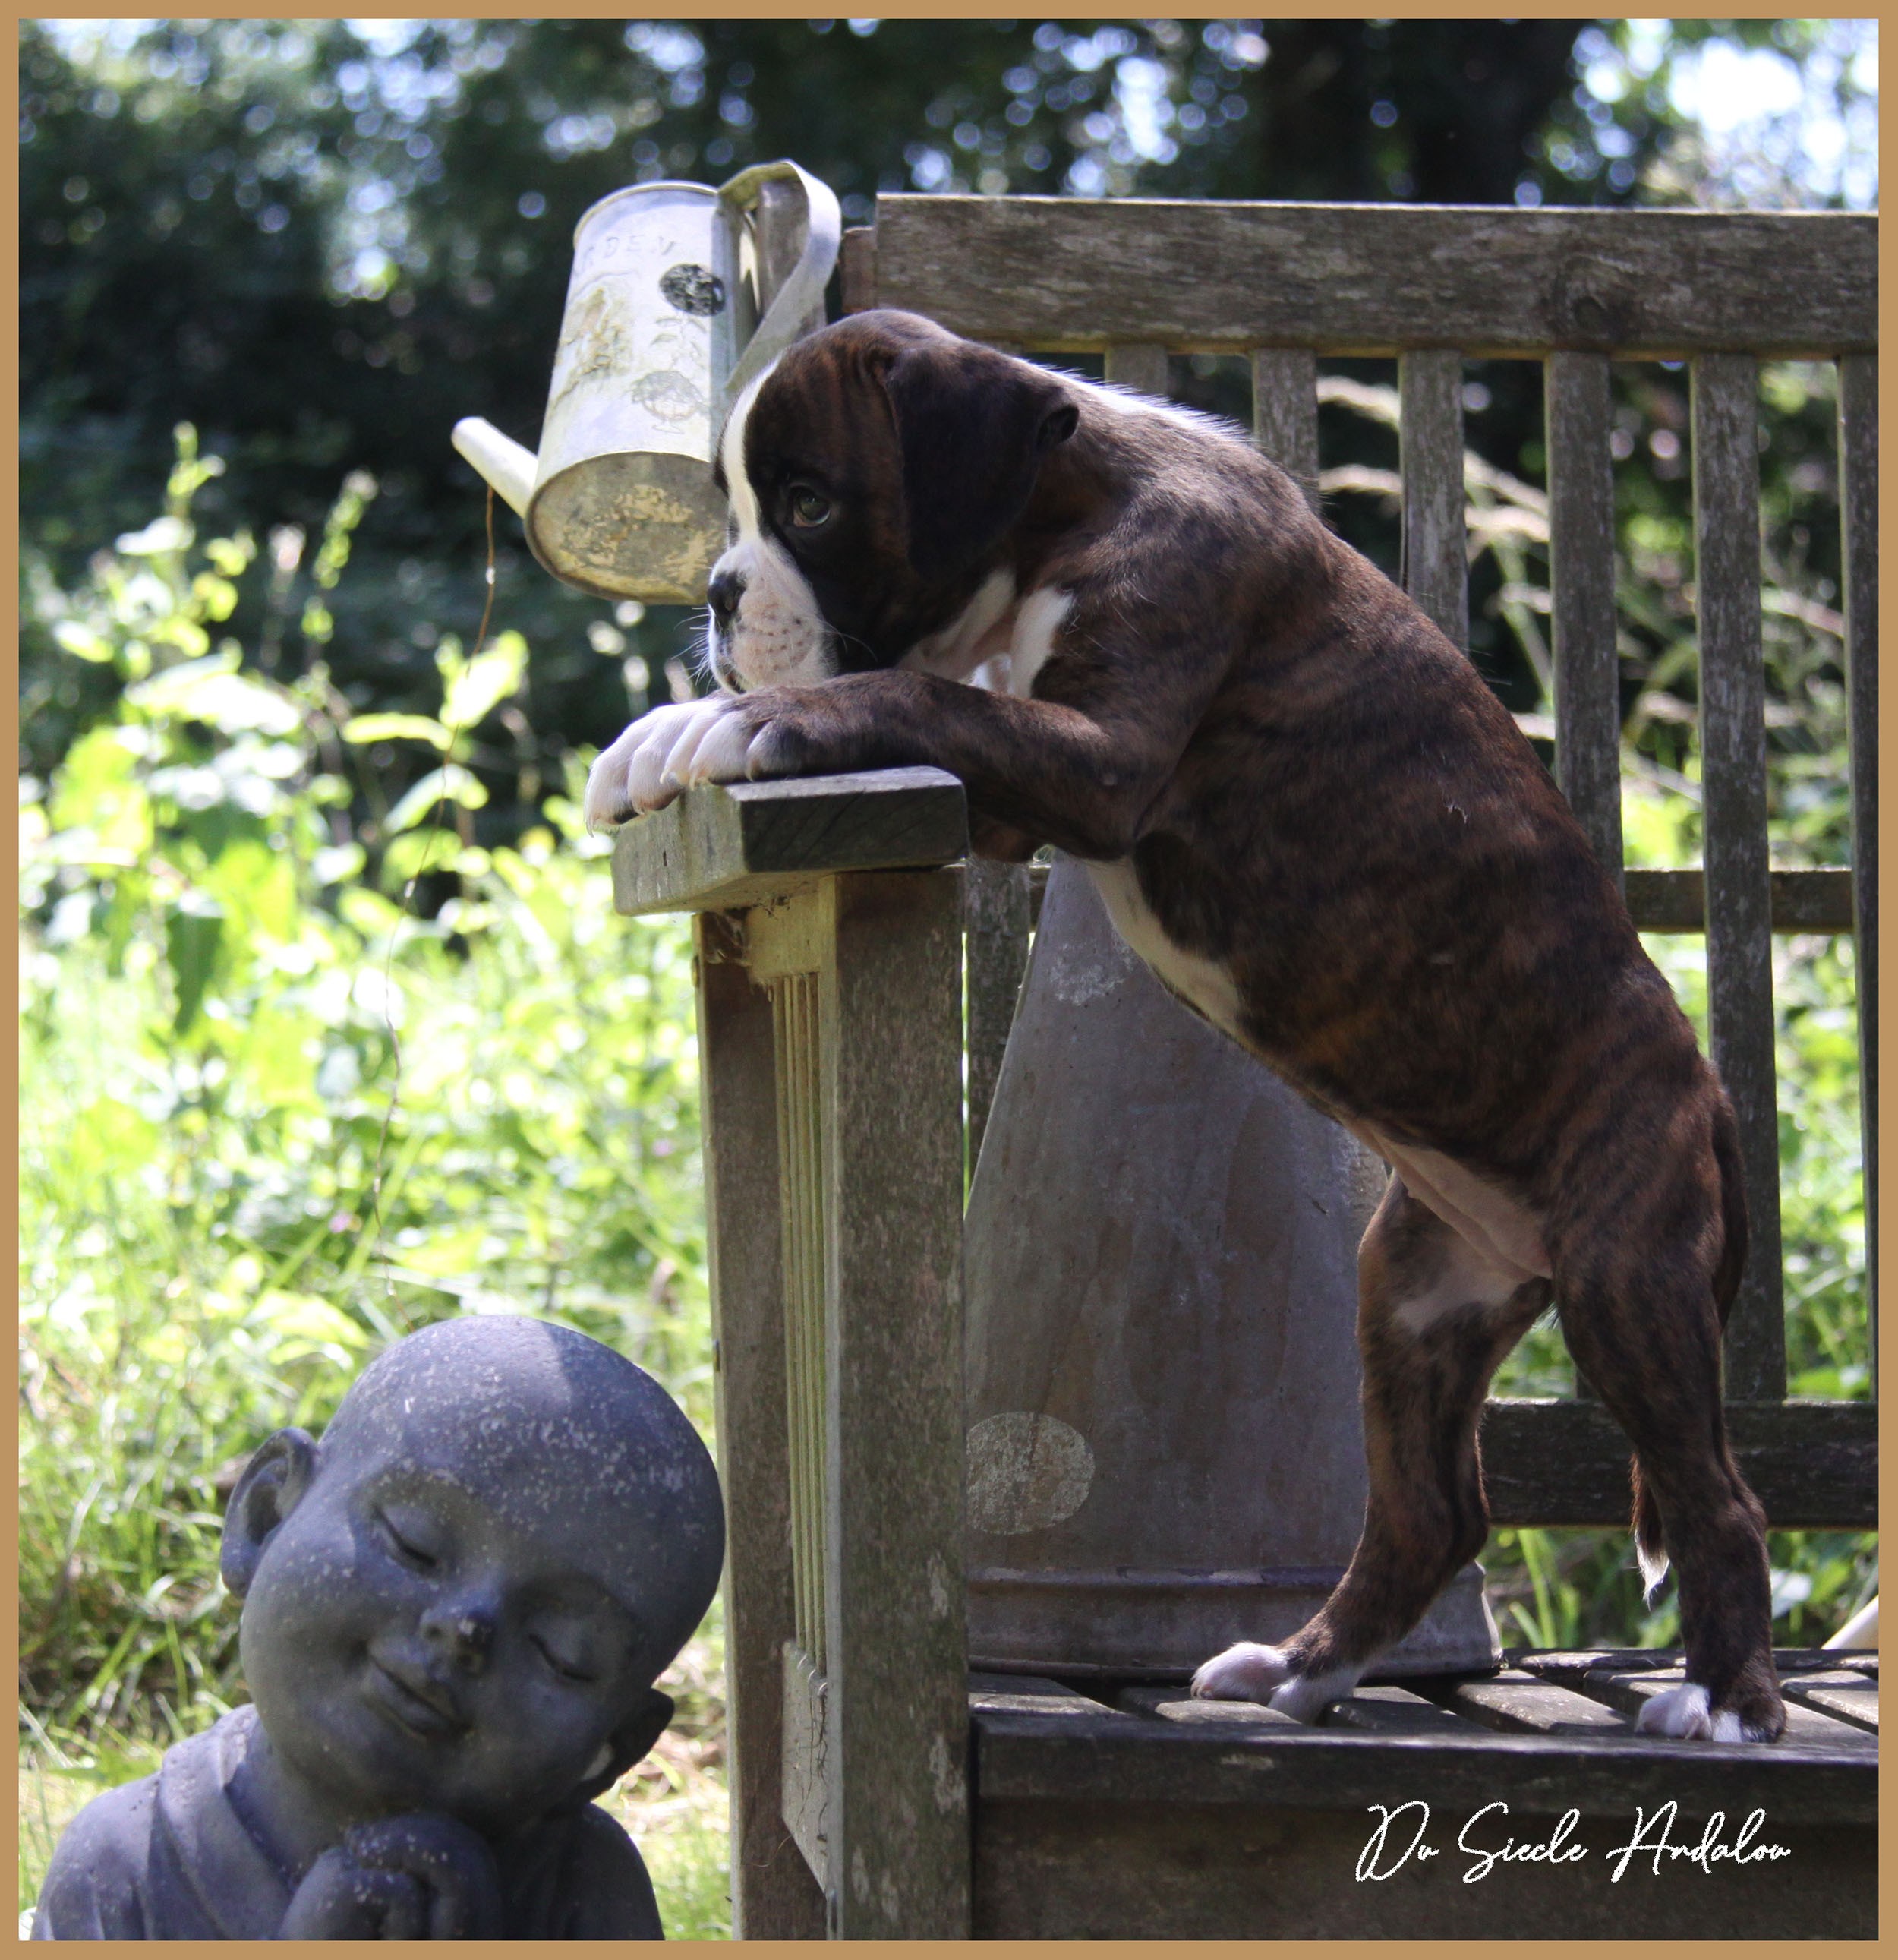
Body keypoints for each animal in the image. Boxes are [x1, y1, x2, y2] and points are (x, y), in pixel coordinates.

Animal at [584, 307, 1783, 1743]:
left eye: (812, 506)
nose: (717, 592)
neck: (1071, 501)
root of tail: (1709, 1098)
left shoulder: (1094, 756)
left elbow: (919, 700)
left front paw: (744, 719)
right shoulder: (1021, 793)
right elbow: (936, 703)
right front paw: (669, 729)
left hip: (1626, 1281)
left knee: (1722, 1498)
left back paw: (1725, 1698)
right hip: (1417, 1297)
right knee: (1432, 1515)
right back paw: (1298, 1670)